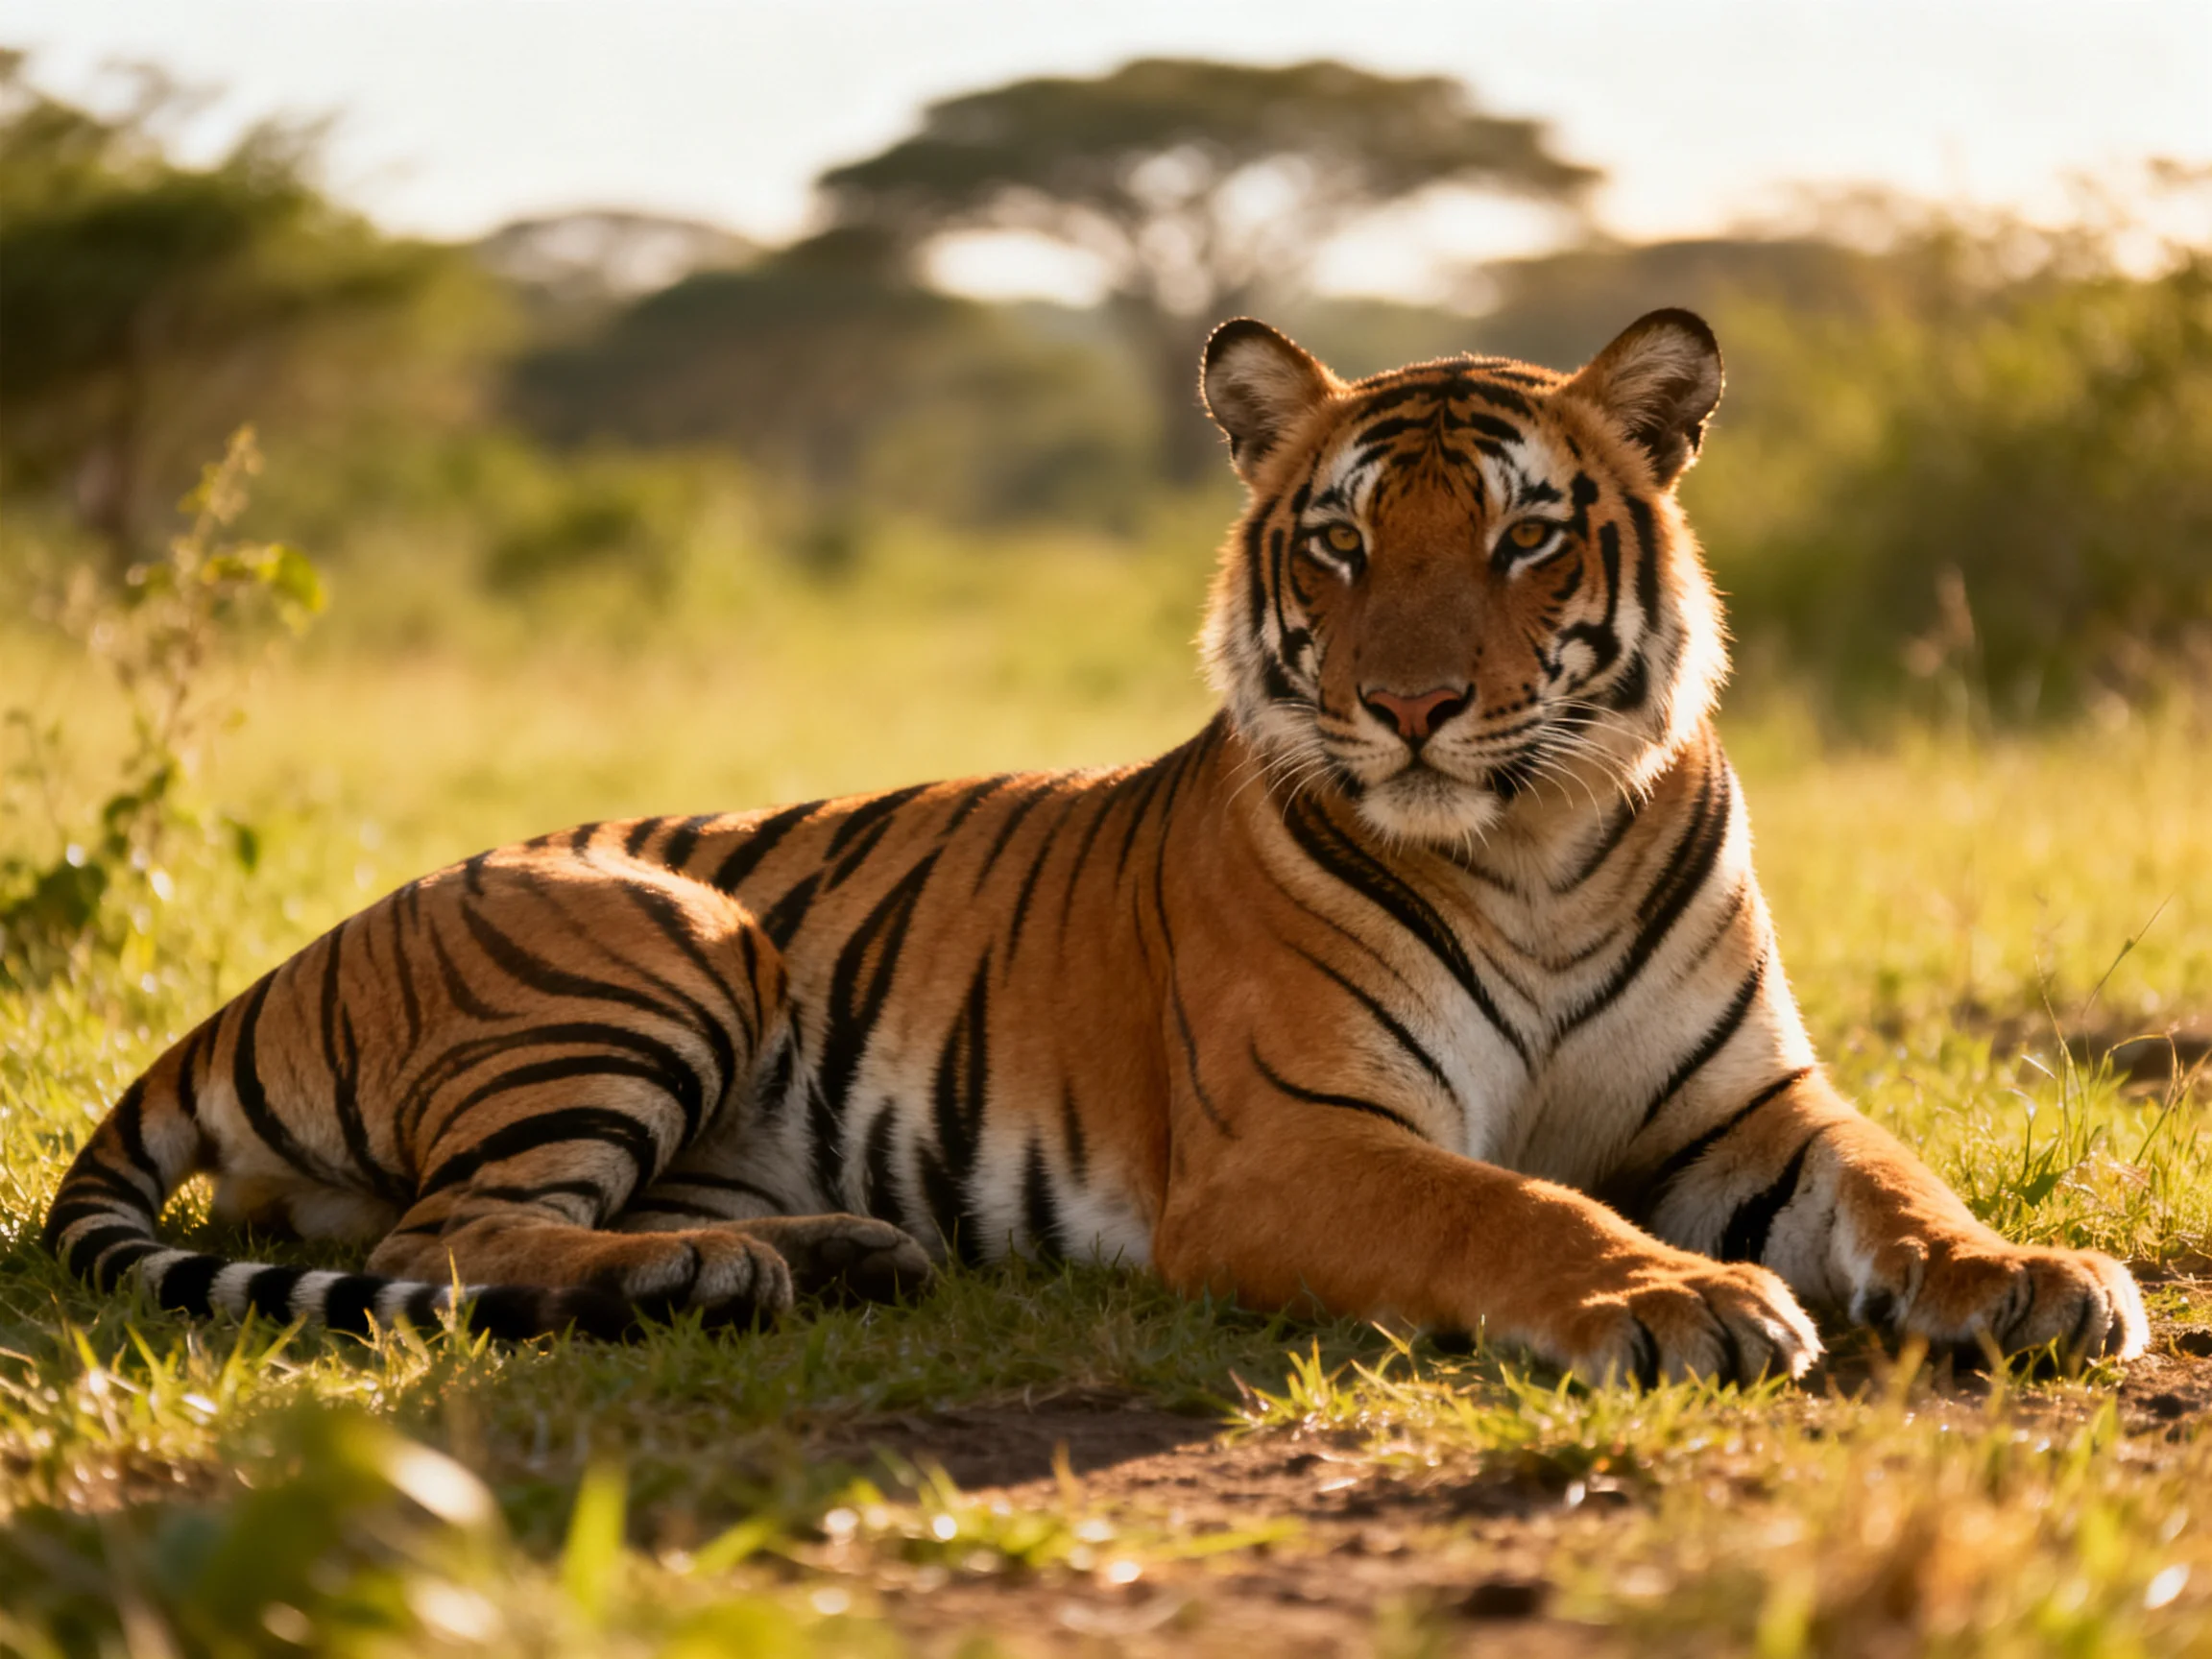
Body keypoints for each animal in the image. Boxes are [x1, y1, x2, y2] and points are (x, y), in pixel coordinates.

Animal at [44, 309, 2149, 1385]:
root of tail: (271, 969)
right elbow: (1506, 1205)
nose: (1409, 705)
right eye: (1340, 543)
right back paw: (721, 1280)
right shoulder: (1298, 1140)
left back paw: (826, 1255)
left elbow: (1900, 1183)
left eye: (1527, 536)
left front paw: (2030, 1277)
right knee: (447, 1238)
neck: (1536, 839)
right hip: (656, 929)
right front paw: (1671, 1298)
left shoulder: (1749, 1108)